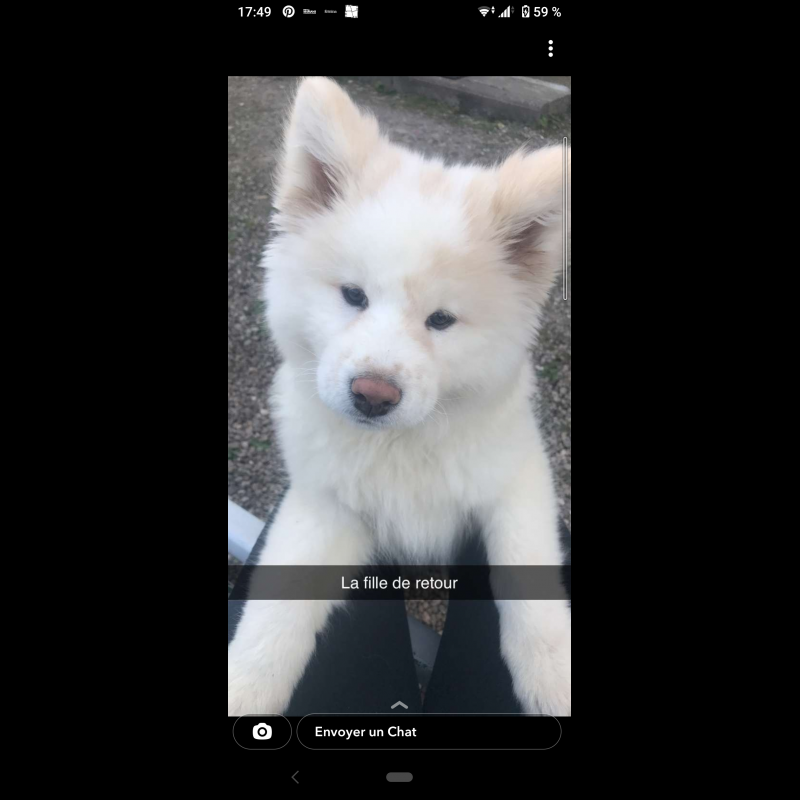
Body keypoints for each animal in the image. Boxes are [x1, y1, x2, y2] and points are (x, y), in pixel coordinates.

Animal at [228, 77, 571, 716]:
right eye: (353, 295)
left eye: (441, 320)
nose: (372, 395)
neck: (402, 448)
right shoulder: (324, 505)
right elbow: (275, 615)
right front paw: (244, 689)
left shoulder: (516, 473)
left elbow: (526, 575)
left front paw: (553, 676)